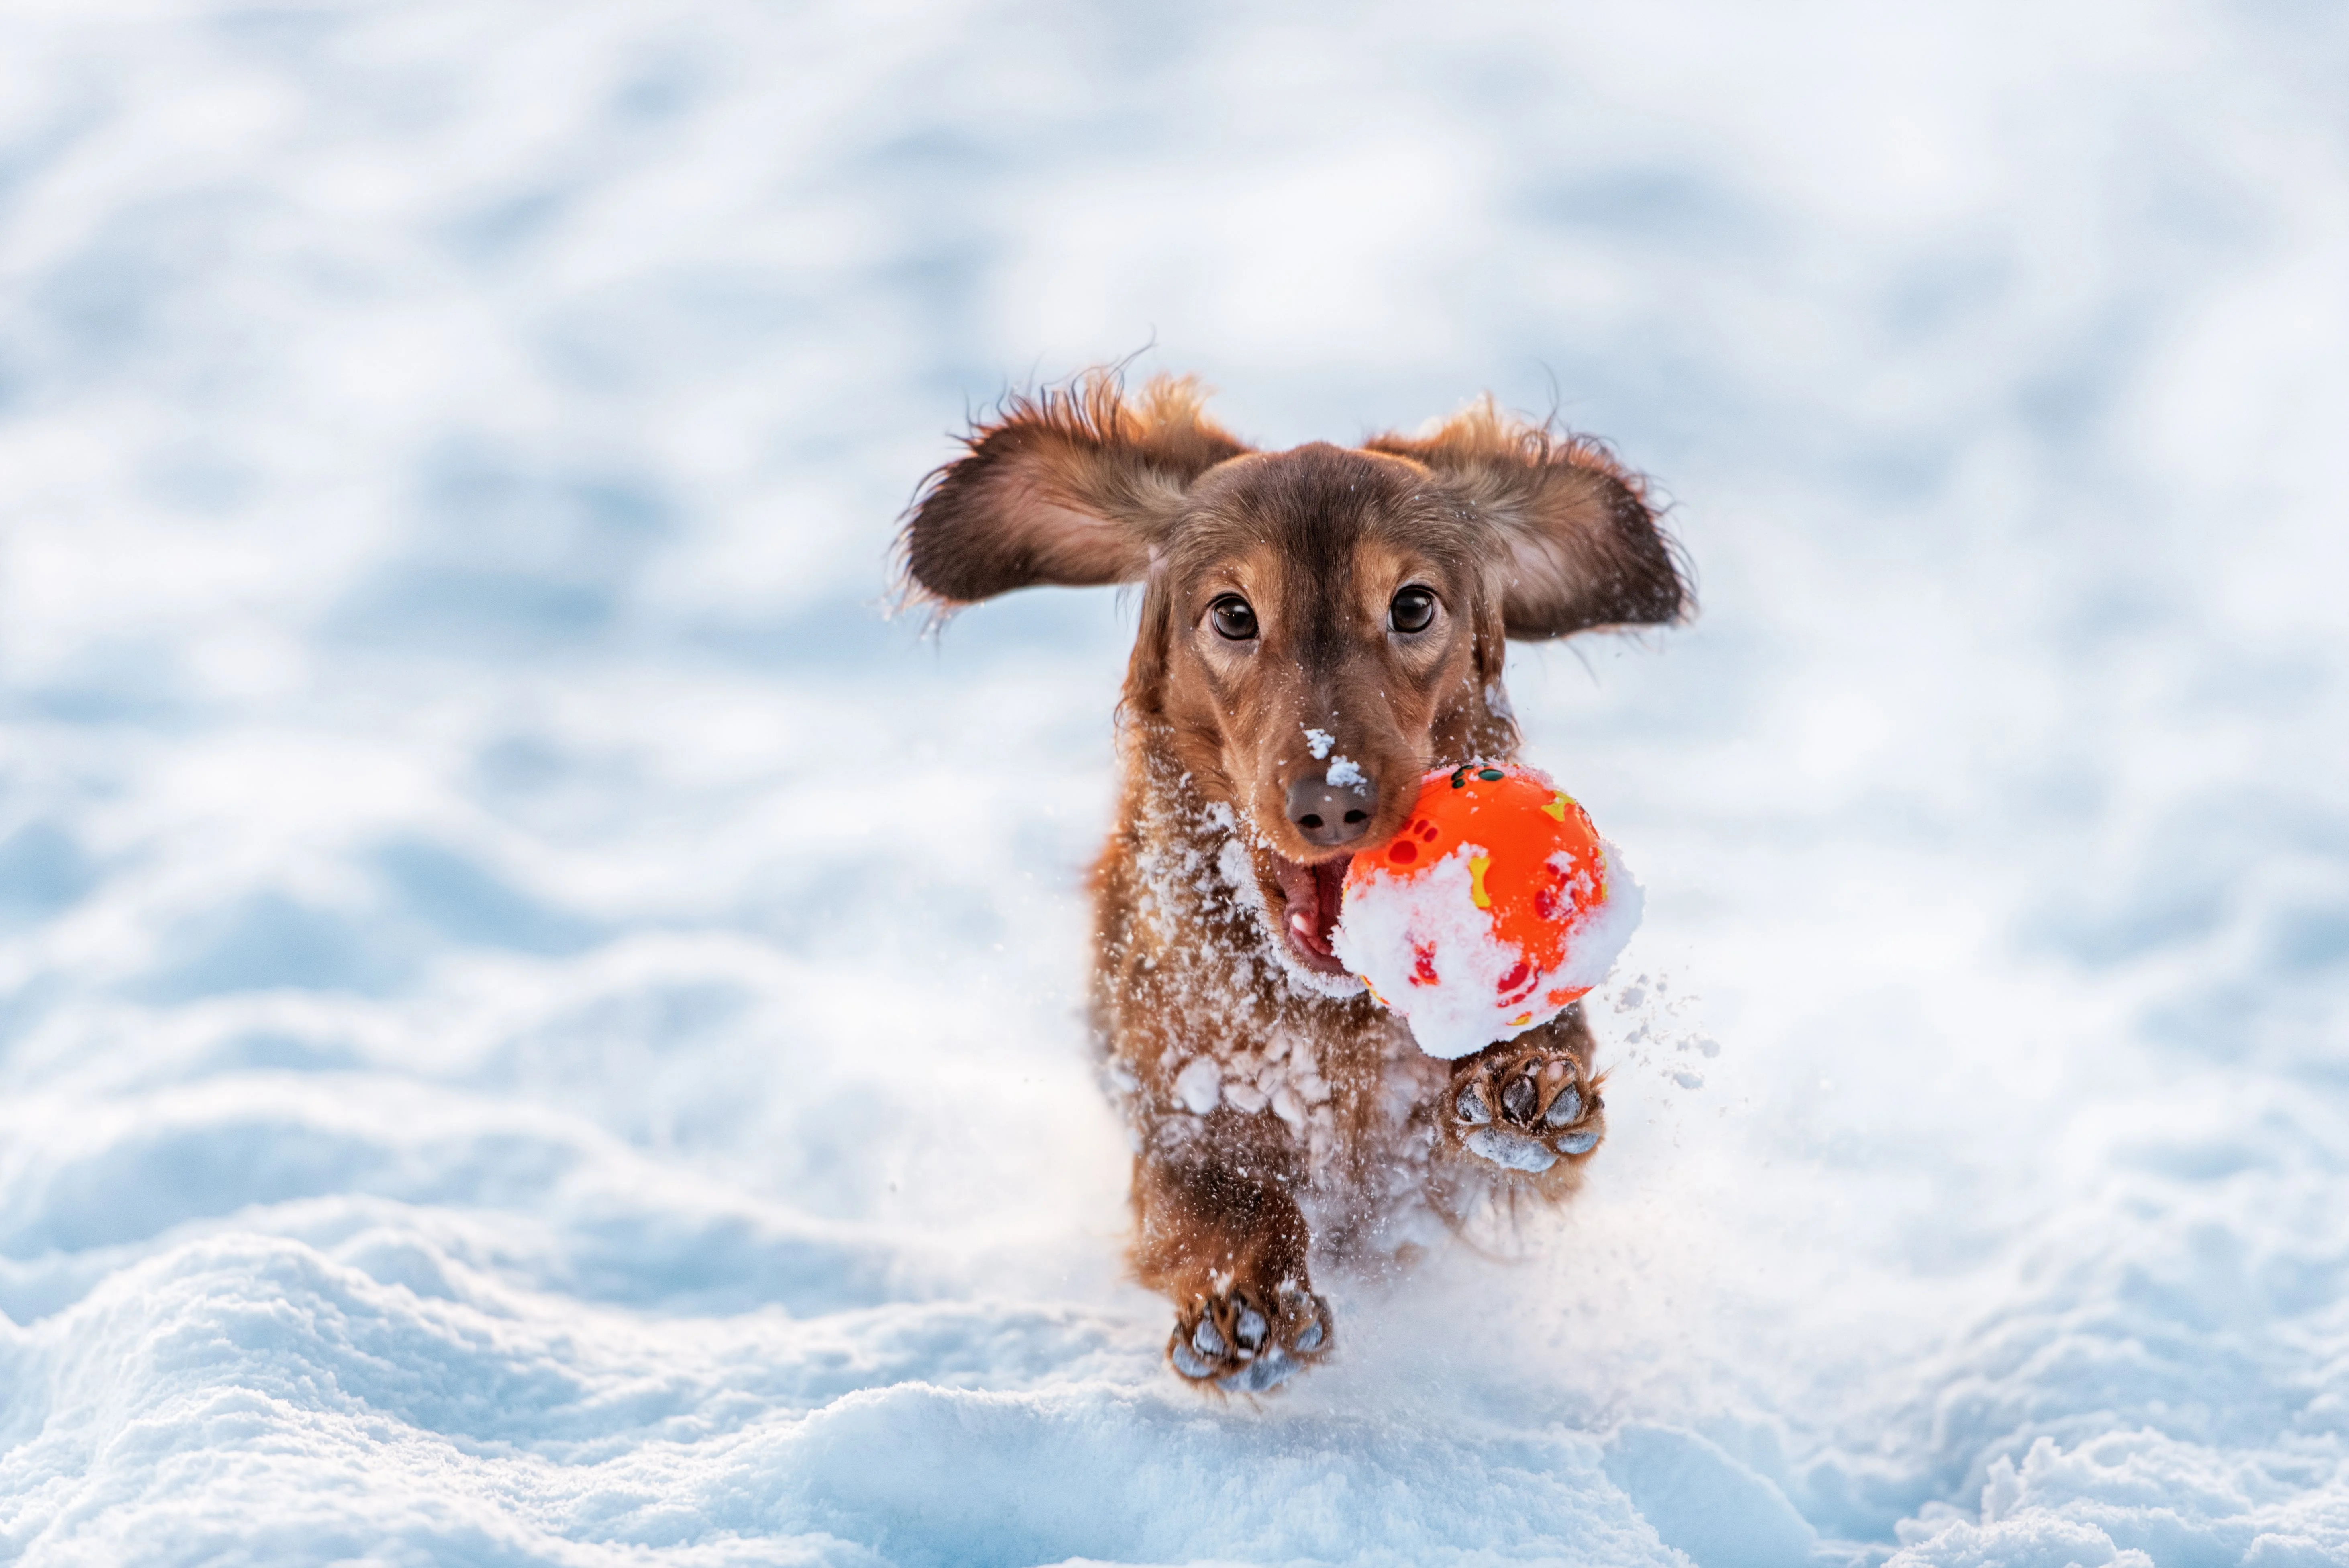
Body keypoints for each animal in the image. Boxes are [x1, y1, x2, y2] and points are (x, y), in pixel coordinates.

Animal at [897, 373, 1691, 1389]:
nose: (1332, 801)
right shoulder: (1172, 1103)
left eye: (1412, 605)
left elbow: (1531, 1102)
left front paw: (1521, 1077)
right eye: (1233, 614)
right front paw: (1244, 1297)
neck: (1323, 1021)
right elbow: (1207, 1193)